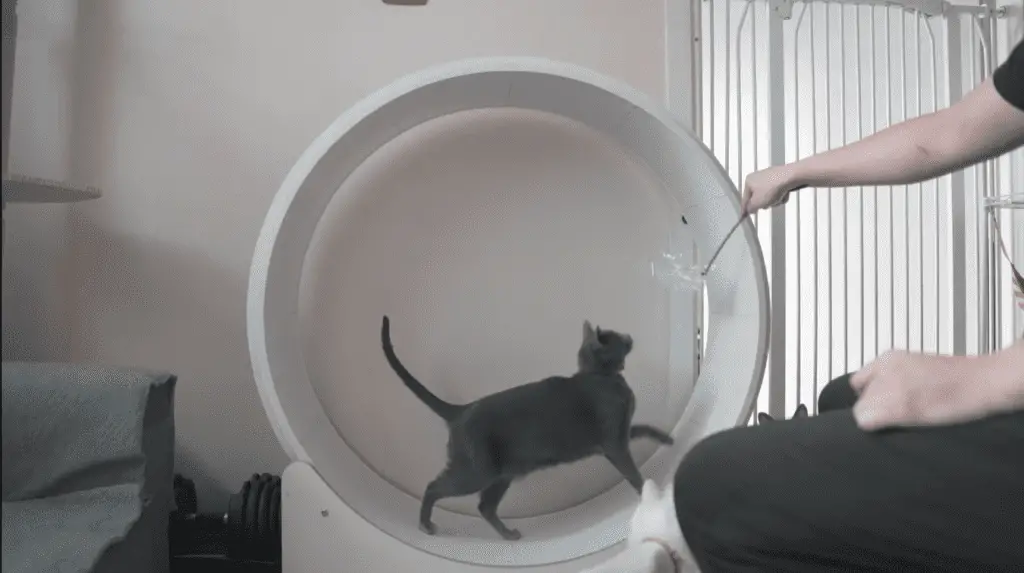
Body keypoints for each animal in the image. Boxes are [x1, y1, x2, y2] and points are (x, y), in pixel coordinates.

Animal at [380, 315, 675, 540]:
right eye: (616, 337)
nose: (630, 335)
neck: (602, 377)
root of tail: (461, 409)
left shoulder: (622, 433)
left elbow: (644, 427)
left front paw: (666, 439)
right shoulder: (614, 444)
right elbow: (633, 474)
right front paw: (651, 494)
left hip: (502, 475)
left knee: (485, 506)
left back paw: (508, 535)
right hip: (476, 473)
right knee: (434, 487)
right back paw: (425, 524)